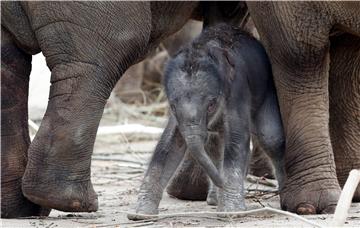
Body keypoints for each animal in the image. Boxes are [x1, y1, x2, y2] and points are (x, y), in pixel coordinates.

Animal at [129, 23, 284, 219]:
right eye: (172, 106)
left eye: (211, 105)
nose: (222, 182)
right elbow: (170, 143)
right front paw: (140, 215)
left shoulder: (238, 89)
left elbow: (237, 137)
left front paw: (230, 212)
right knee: (215, 145)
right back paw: (215, 200)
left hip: (267, 89)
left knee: (270, 138)